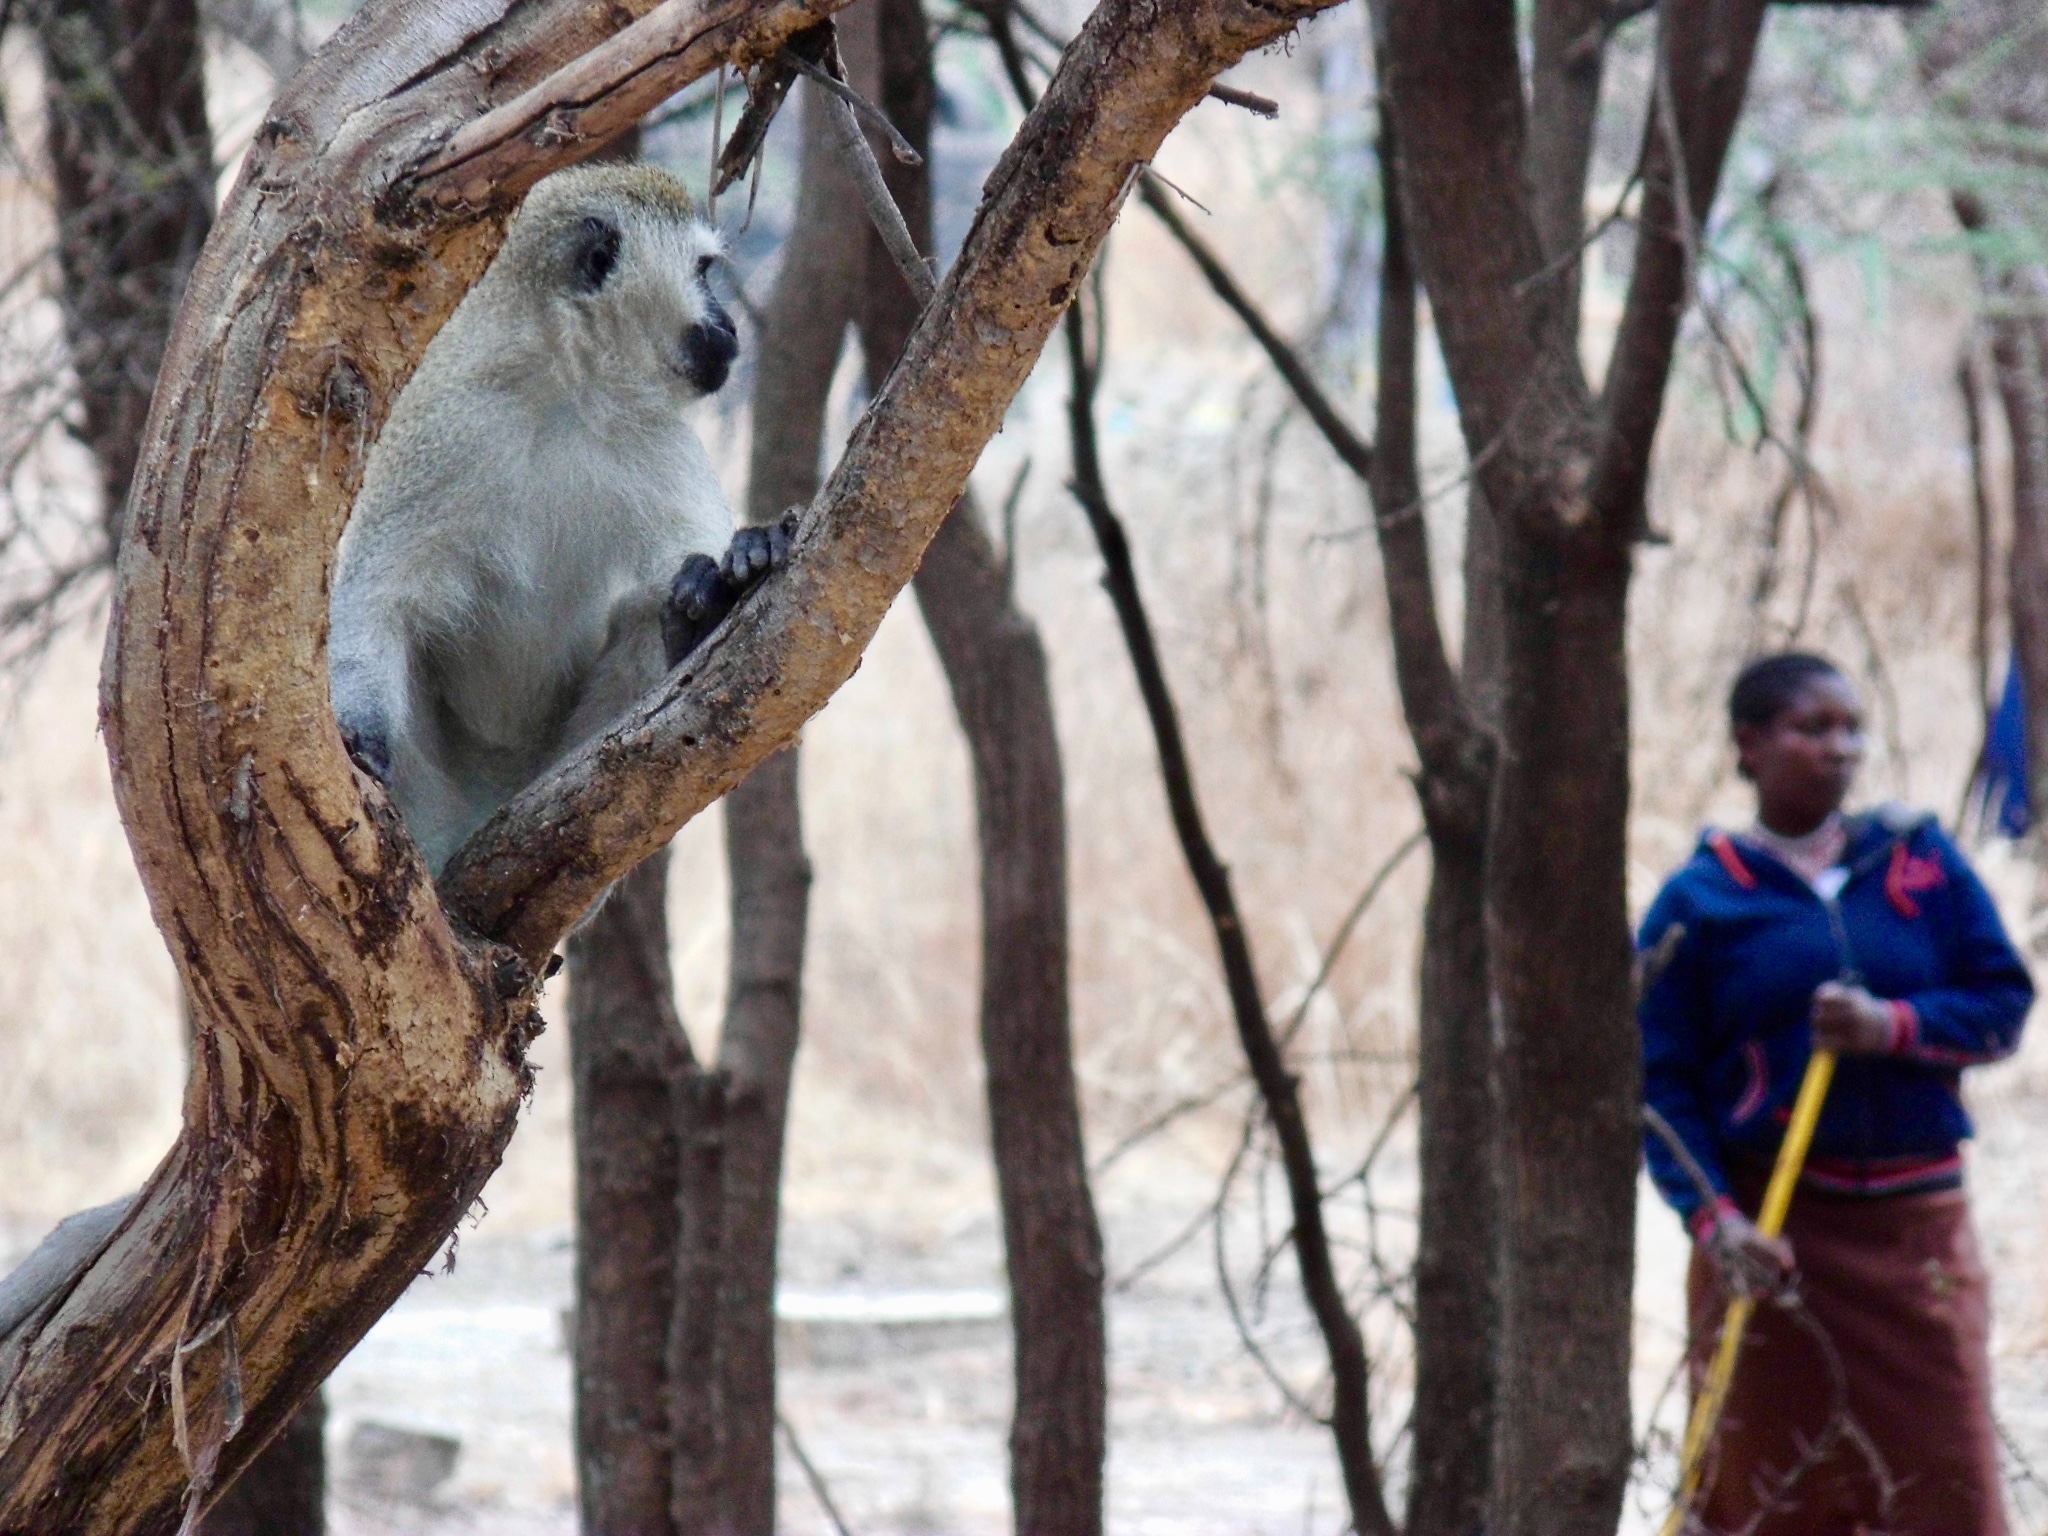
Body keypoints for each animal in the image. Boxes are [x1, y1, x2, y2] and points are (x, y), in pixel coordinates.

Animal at [331, 166, 786, 876]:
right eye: (704, 272)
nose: (733, 329)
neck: (562, 387)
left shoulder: (657, 437)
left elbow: (688, 559)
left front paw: (742, 564)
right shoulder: (435, 426)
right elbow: (374, 594)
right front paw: (357, 725)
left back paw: (693, 621)